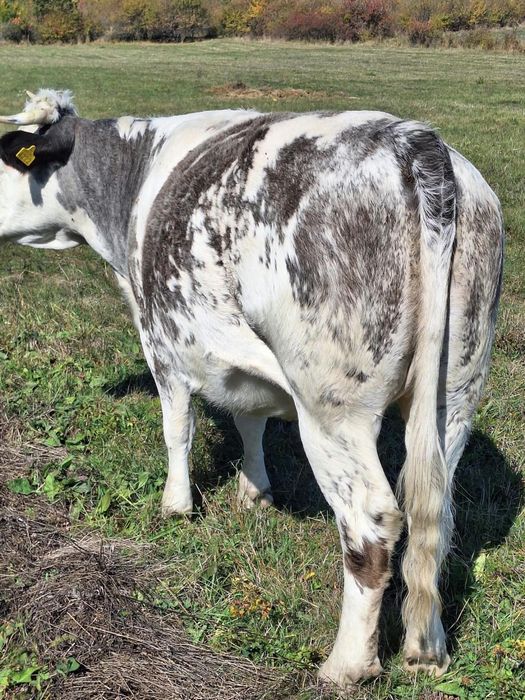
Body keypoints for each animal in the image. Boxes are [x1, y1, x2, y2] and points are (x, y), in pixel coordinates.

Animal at [0, 89, 503, 687]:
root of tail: (415, 142)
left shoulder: (162, 341)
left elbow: (178, 430)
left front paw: (176, 505)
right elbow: (250, 421)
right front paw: (255, 491)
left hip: (333, 408)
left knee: (371, 522)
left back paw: (346, 665)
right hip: (457, 392)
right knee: (435, 513)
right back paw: (428, 650)